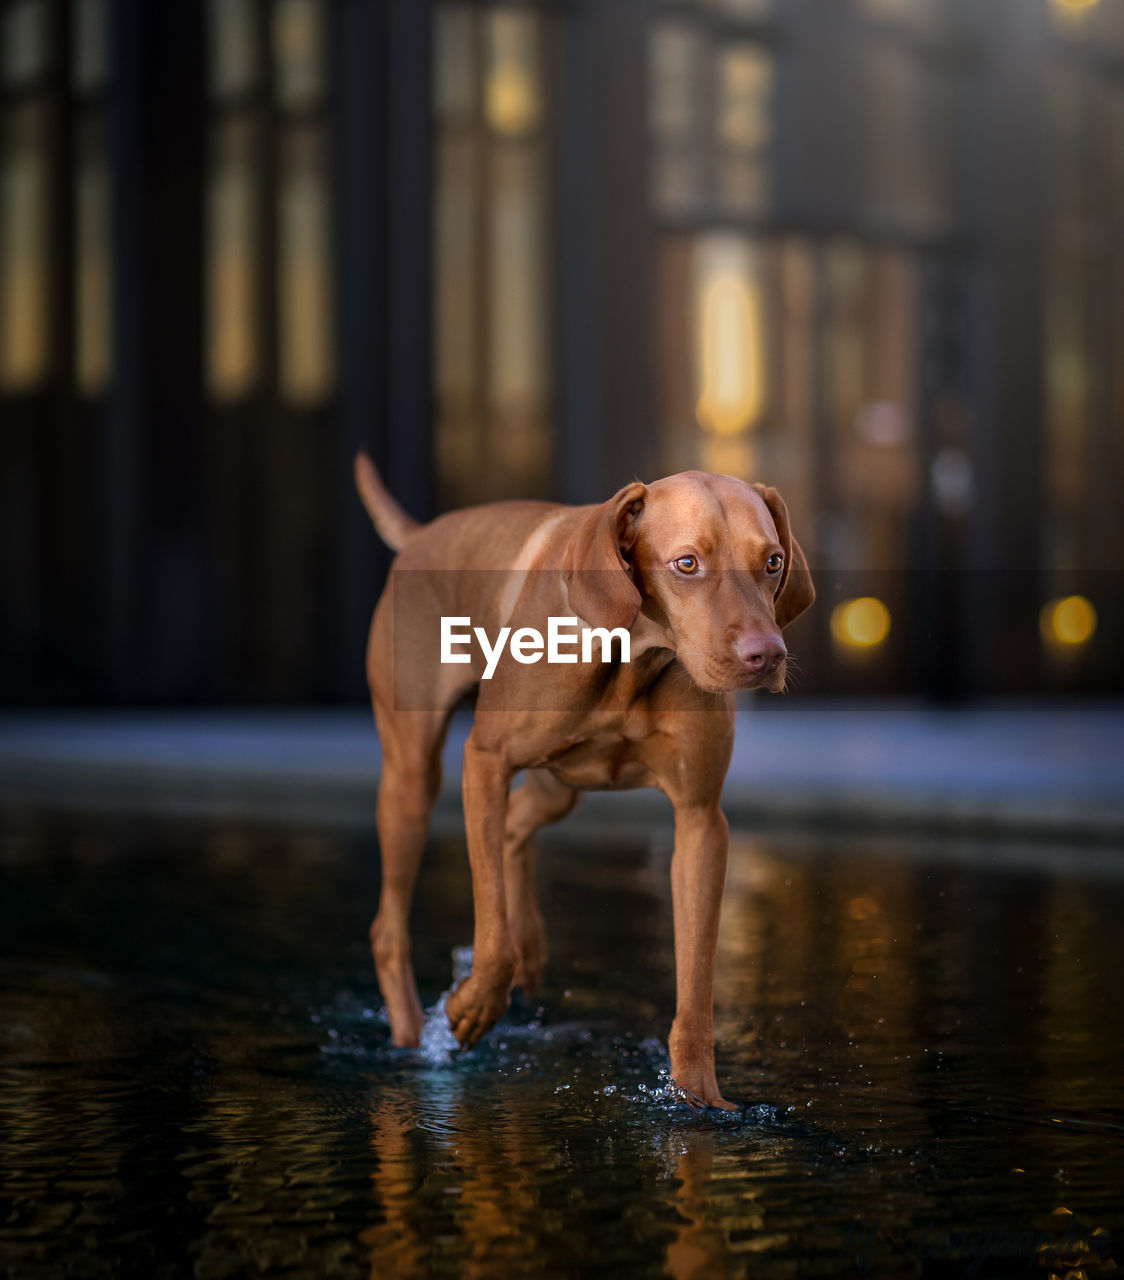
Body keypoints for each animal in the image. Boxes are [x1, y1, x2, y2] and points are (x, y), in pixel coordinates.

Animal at [355, 458, 814, 1111]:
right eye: (687, 564)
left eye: (772, 562)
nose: (766, 656)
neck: (636, 656)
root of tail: (422, 535)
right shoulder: (484, 761)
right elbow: (490, 936)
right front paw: (472, 1006)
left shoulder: (701, 819)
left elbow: (696, 978)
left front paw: (698, 1094)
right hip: (413, 780)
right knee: (390, 927)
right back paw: (412, 1036)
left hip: (560, 785)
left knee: (515, 826)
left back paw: (529, 940)